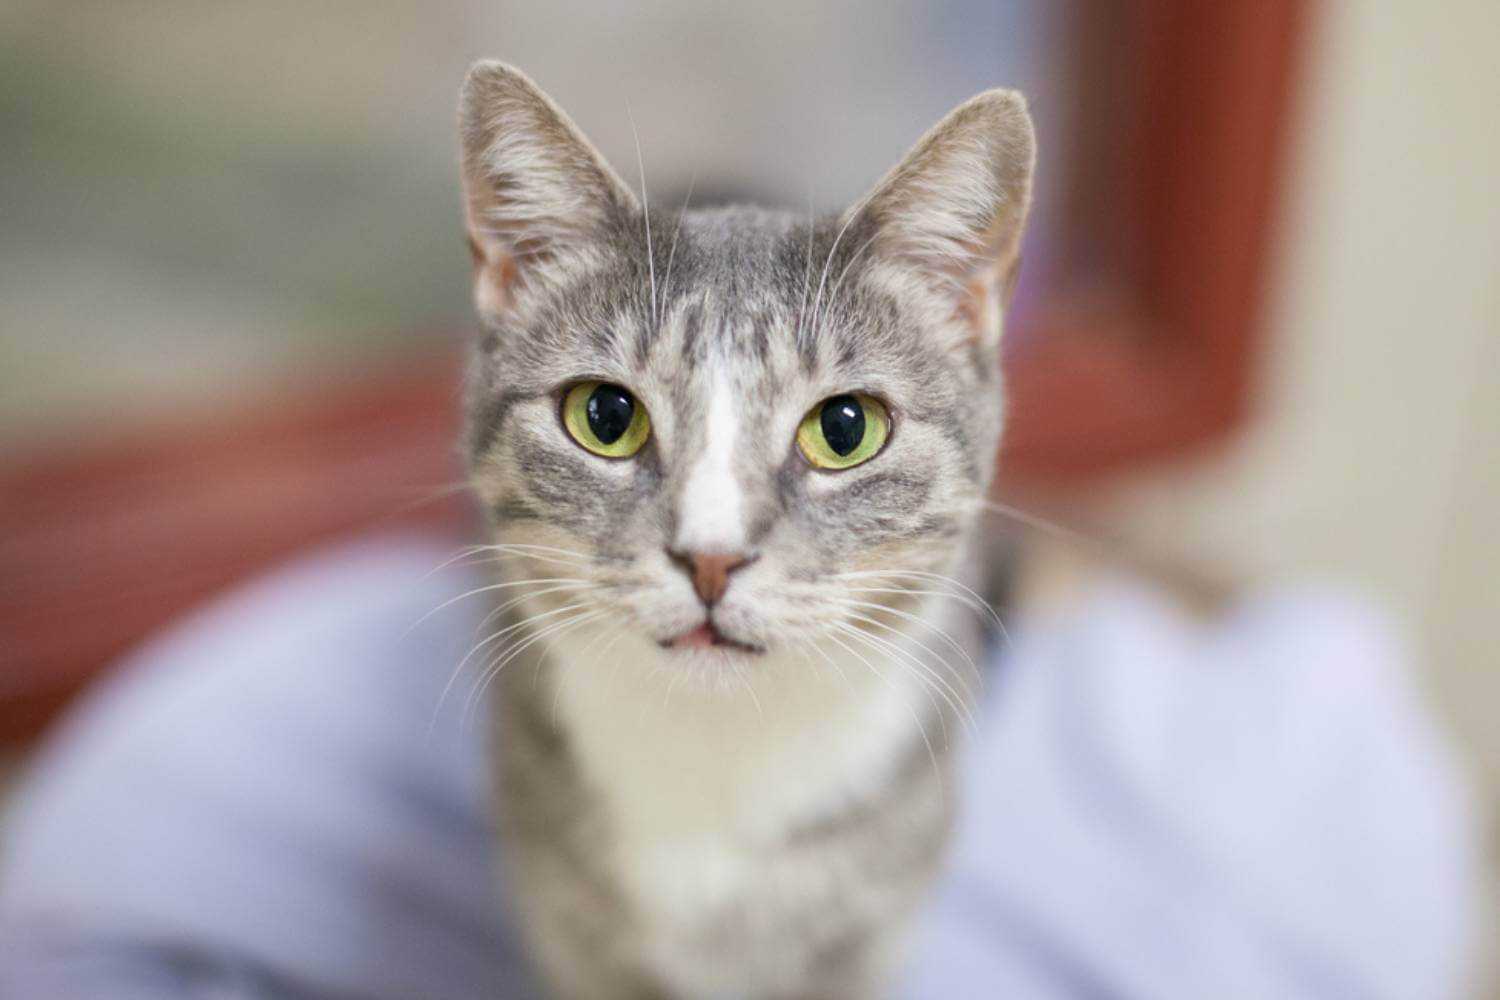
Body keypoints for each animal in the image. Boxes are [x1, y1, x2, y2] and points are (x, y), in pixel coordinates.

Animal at [453, 62, 1032, 1000]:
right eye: (604, 416)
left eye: (846, 429)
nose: (711, 559)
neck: (720, 748)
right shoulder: (575, 936)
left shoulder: (860, 939)